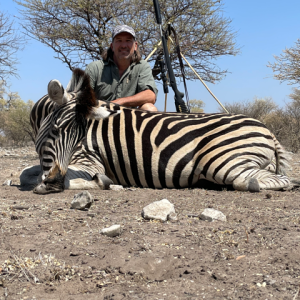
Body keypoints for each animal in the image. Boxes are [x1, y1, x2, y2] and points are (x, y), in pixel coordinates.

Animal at [28, 68, 298, 195]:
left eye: (79, 140)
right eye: (55, 130)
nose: (52, 183)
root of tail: (268, 130)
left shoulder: (88, 159)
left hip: (222, 161)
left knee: (265, 180)